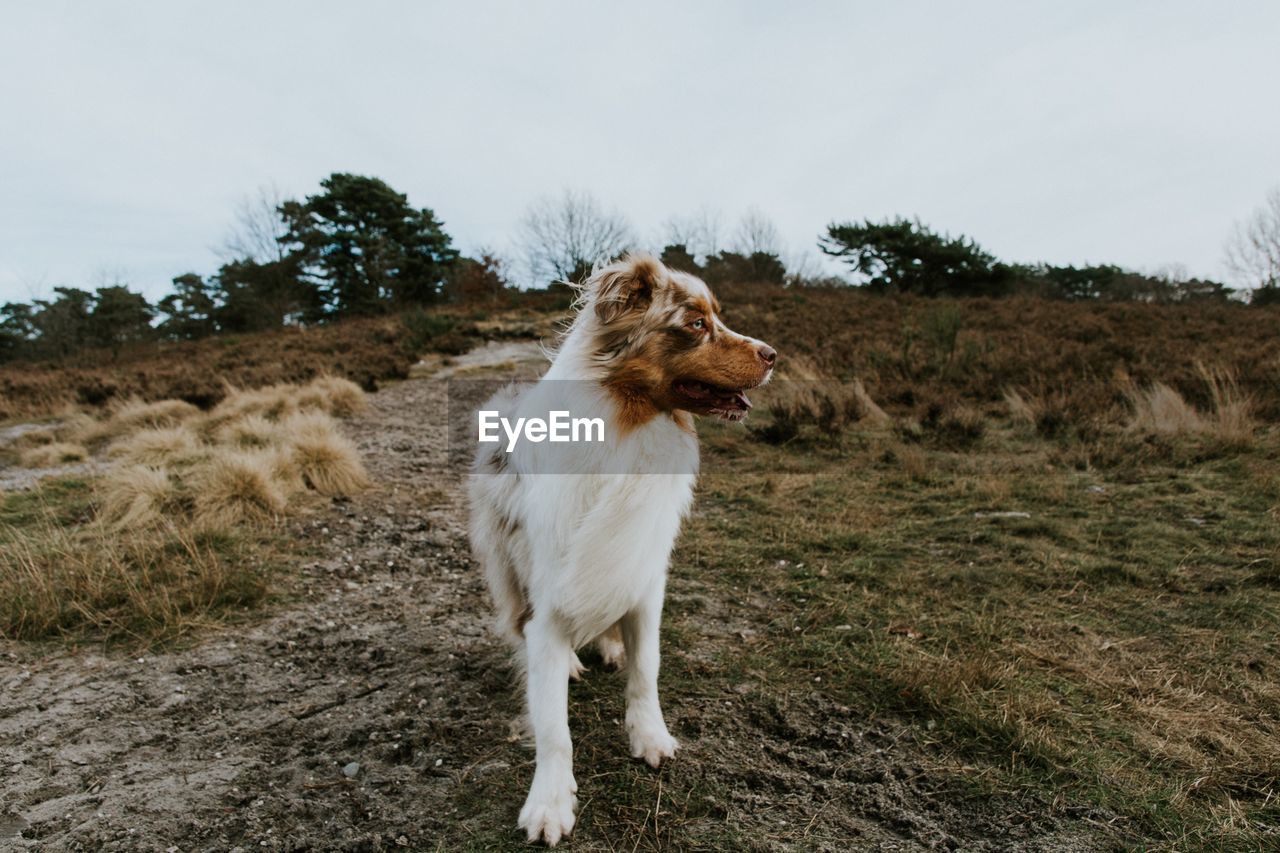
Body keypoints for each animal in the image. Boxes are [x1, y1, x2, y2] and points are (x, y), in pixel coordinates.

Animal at [468, 252, 773, 845]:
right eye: (695, 323)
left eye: (718, 316)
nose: (773, 355)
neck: (630, 435)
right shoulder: (547, 596)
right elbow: (553, 726)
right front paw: (550, 802)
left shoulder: (645, 574)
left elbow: (646, 668)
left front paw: (649, 735)